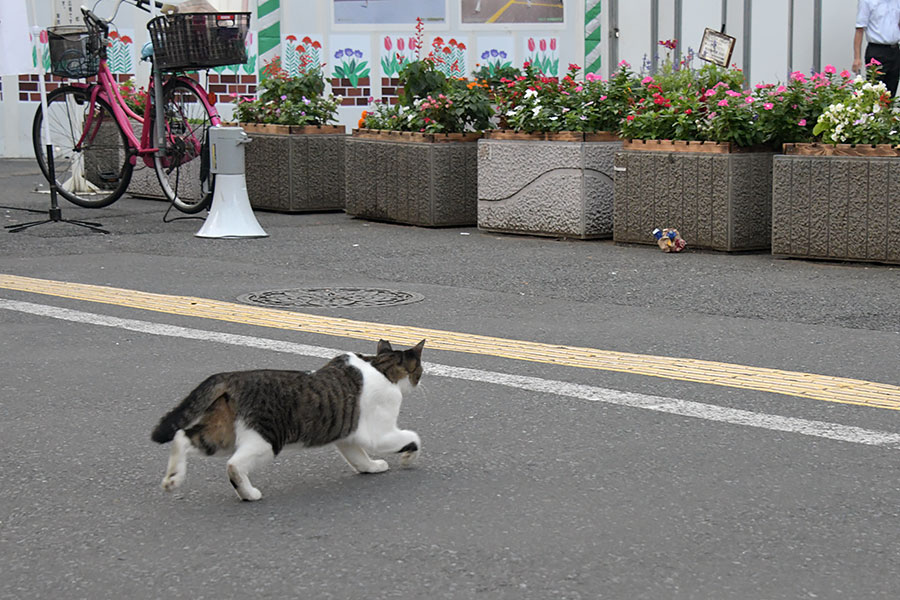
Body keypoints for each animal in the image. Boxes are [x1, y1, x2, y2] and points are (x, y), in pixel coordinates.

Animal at [151, 338, 426, 502]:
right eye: (420, 371)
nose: (420, 381)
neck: (381, 367)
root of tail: (234, 377)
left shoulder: (347, 437)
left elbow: (359, 458)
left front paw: (372, 467)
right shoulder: (379, 434)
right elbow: (414, 437)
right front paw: (407, 457)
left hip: (220, 434)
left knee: (182, 437)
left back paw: (173, 479)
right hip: (266, 440)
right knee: (233, 465)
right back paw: (249, 493)